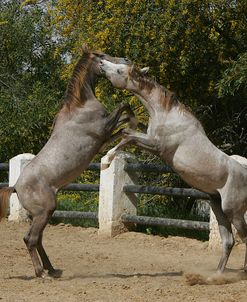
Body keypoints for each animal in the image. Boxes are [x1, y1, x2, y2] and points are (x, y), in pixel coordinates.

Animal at [0, 47, 135, 278]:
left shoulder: (103, 139)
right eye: (102, 56)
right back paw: (41, 273)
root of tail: (16, 186)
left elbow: (123, 125)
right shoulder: (103, 129)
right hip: (44, 211)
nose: (125, 60)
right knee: (31, 239)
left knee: (37, 239)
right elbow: (123, 108)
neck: (80, 106)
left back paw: (52, 270)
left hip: (42, 214)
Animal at [97, 55, 247, 274]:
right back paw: (217, 274)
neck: (167, 114)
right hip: (218, 207)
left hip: (233, 212)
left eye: (119, 71)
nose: (100, 63)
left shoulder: (156, 146)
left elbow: (128, 137)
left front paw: (106, 161)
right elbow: (126, 131)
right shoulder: (150, 141)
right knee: (229, 241)